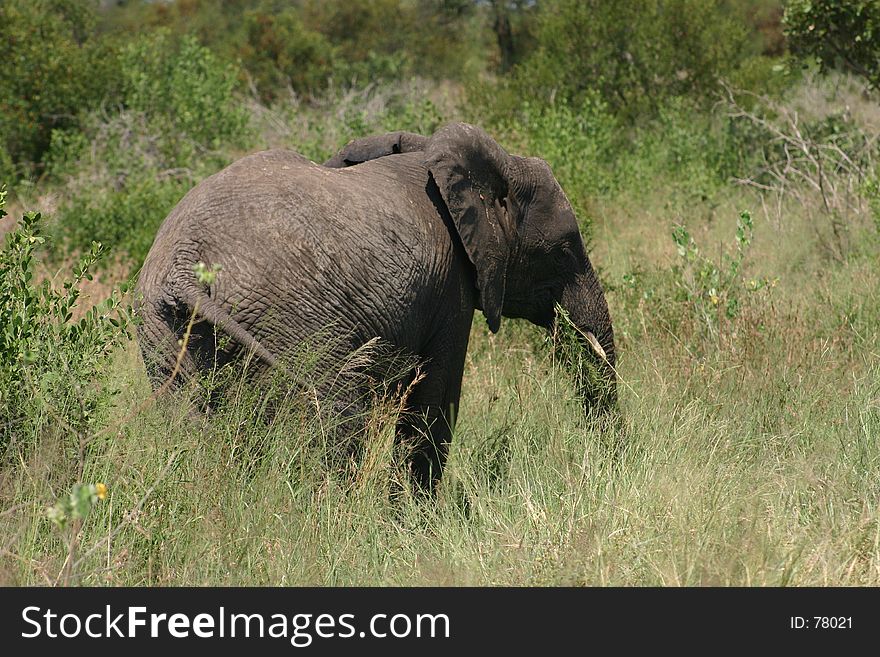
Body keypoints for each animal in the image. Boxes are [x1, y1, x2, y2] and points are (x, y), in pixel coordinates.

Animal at [139, 123, 620, 492]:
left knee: (194, 425)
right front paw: (413, 530)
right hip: (293, 324)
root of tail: (185, 266)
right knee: (335, 420)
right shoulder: (451, 282)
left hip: (164, 334)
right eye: (564, 250)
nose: (609, 462)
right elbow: (435, 402)